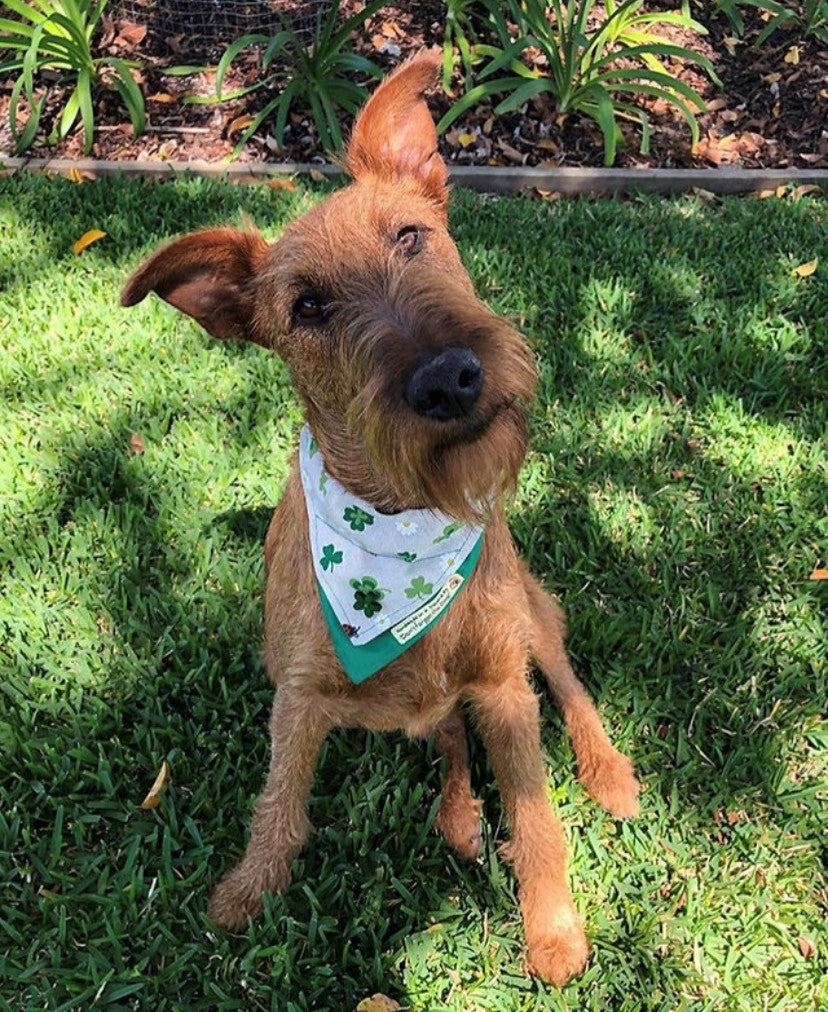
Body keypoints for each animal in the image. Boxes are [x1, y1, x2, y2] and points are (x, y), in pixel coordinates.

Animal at [122, 51, 639, 983]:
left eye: (409, 236)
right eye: (307, 307)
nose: (449, 379)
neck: (401, 522)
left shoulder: (505, 685)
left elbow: (536, 810)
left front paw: (553, 930)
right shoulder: (297, 692)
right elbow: (280, 803)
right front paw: (246, 894)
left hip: (533, 612)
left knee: (569, 683)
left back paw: (608, 771)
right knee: (448, 735)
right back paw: (458, 814)